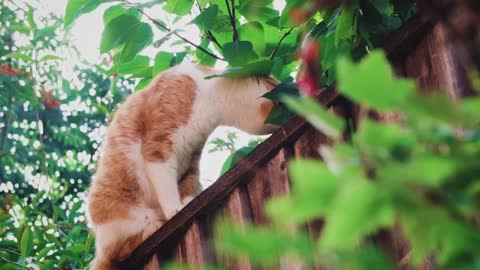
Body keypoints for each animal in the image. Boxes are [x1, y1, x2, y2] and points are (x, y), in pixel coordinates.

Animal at [87, 62, 278, 268]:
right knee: (117, 251)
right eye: (278, 92)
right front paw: (175, 210)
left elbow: (187, 186)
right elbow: (166, 186)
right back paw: (152, 227)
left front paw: (187, 202)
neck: (208, 101)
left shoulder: (191, 159)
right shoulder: (159, 148)